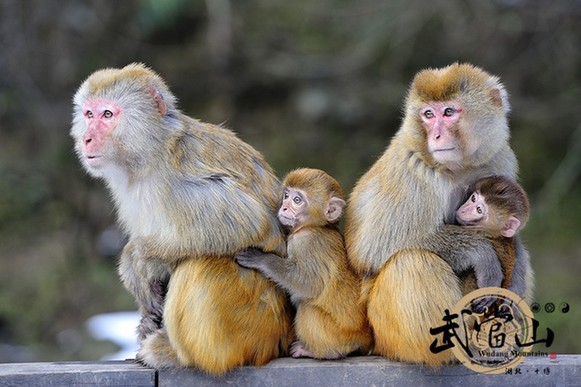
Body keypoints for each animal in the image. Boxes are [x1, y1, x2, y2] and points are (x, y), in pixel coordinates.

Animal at [236, 170, 372, 360]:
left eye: (297, 200)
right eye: (286, 196)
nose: (284, 207)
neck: (313, 226)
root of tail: (364, 337)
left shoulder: (307, 243)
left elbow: (310, 285)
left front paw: (263, 259)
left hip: (339, 336)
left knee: (308, 307)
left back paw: (319, 351)